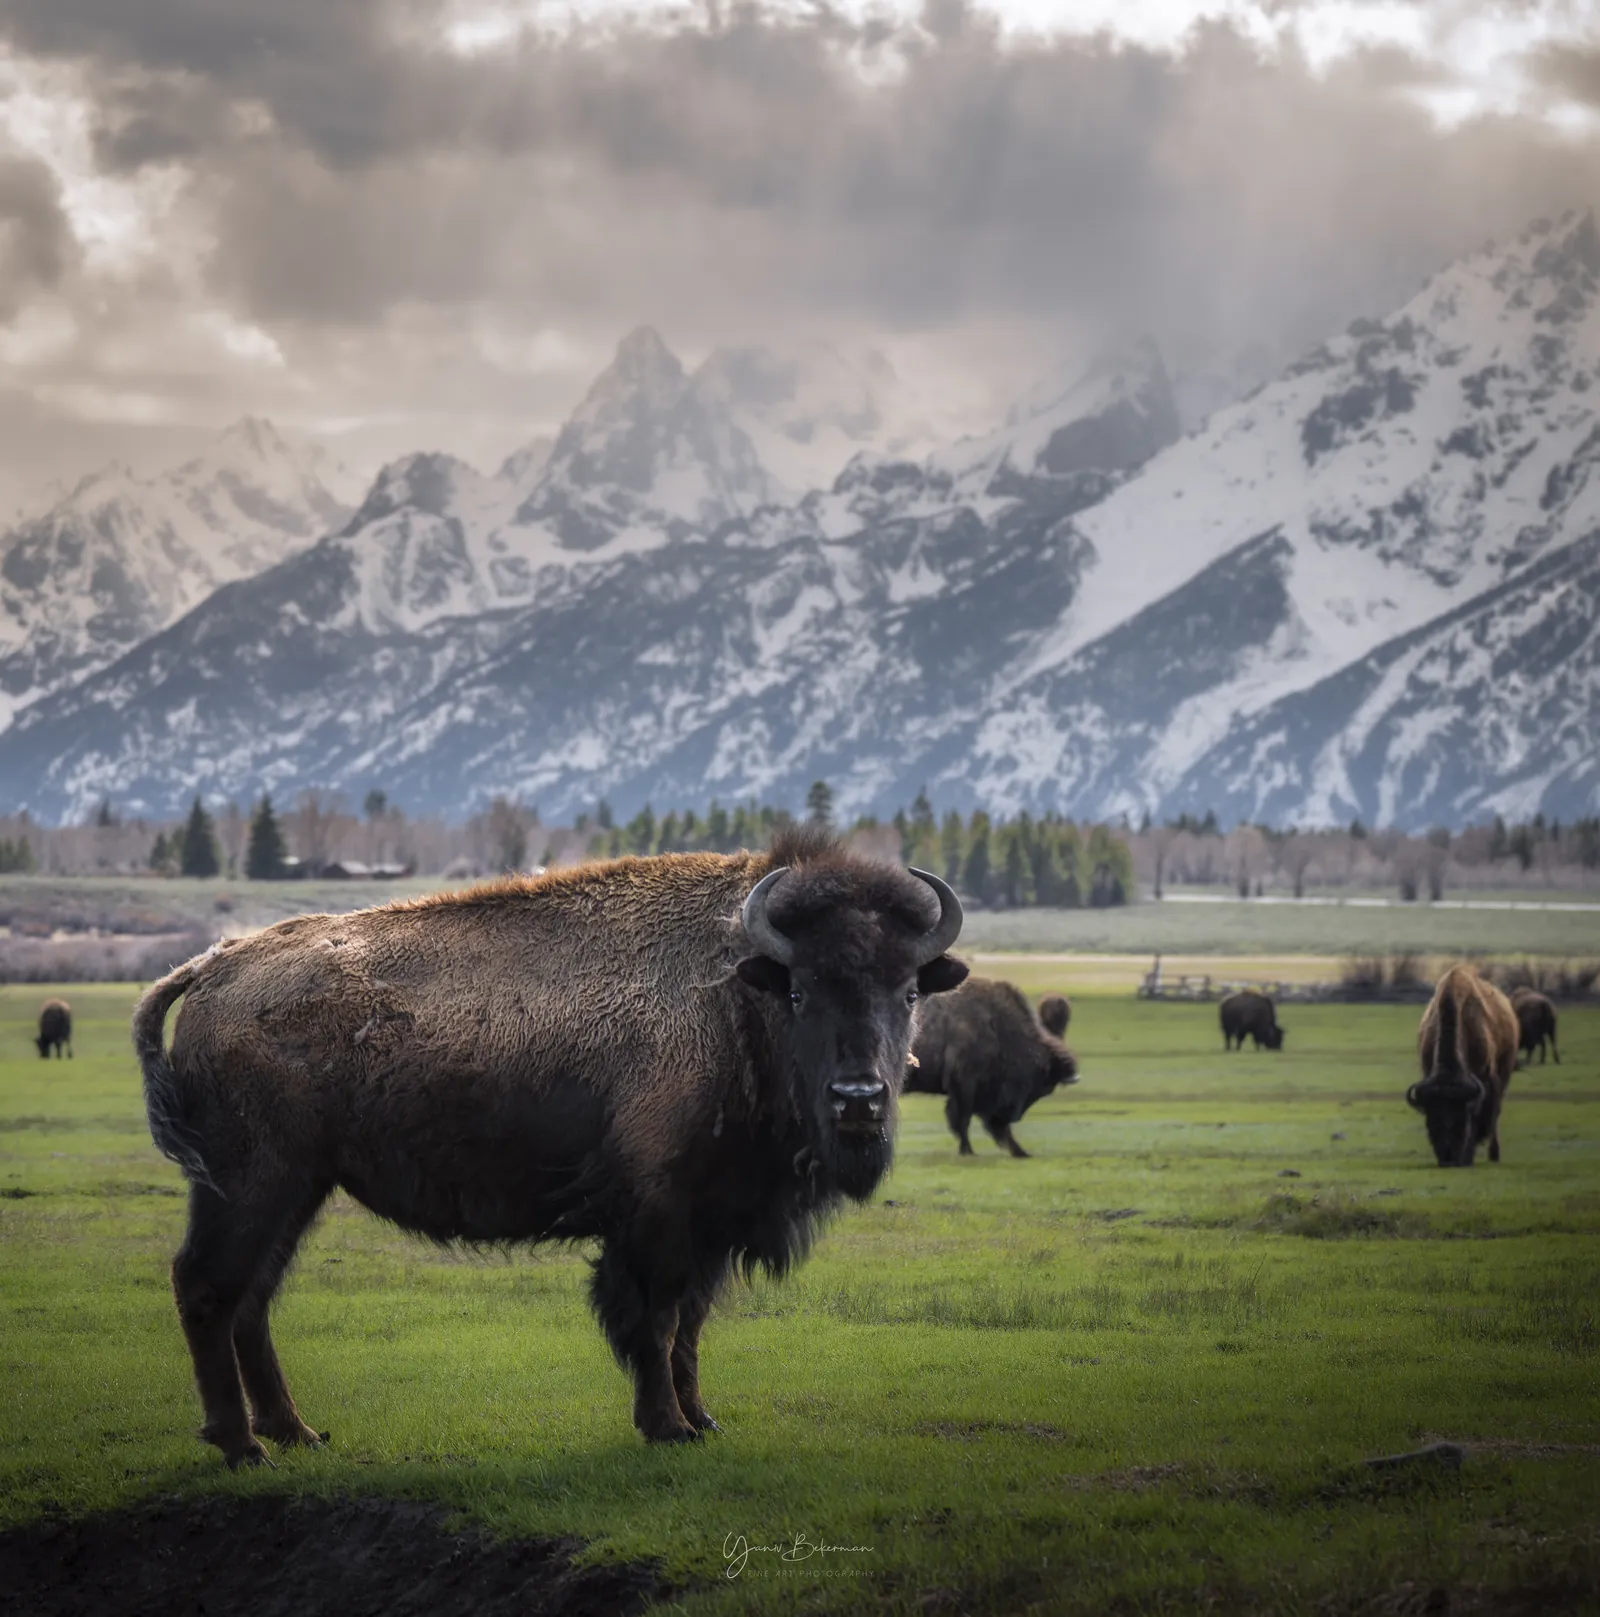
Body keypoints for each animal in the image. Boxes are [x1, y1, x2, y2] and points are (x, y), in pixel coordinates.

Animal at [132, 830, 966, 1465]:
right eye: (798, 989)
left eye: (908, 990)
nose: (858, 1099)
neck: (732, 991)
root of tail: (212, 965)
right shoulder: (657, 1218)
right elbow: (655, 1319)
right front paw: (666, 1427)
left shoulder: (708, 1225)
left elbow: (691, 1323)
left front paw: (701, 1419)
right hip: (250, 1182)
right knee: (206, 1285)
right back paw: (242, 1446)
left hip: (299, 1187)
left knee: (252, 1297)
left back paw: (295, 1432)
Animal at [905, 978, 1078, 1157]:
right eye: (1042, 1084)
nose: (1013, 1115)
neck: (995, 1026)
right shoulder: (964, 1085)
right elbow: (962, 1120)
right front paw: (968, 1151)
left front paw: (1020, 1152)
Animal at [1408, 965, 1517, 1167]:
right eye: (1430, 1122)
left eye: (1462, 1121)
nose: (1449, 1159)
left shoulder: (1484, 1084)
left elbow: (1480, 1119)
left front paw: (1468, 1157)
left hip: (1503, 1077)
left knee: (1496, 1116)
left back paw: (1494, 1155)